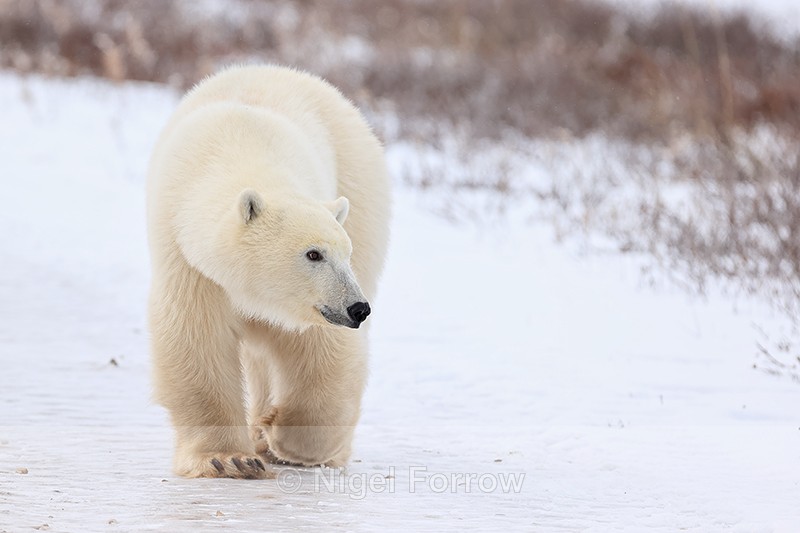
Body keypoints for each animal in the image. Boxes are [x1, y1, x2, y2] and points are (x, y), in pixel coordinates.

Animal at [146, 64, 391, 479]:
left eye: (345, 254)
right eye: (313, 254)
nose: (358, 308)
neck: (238, 144)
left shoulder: (313, 303)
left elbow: (323, 350)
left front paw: (287, 440)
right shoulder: (189, 261)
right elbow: (197, 339)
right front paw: (230, 458)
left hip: (360, 189)